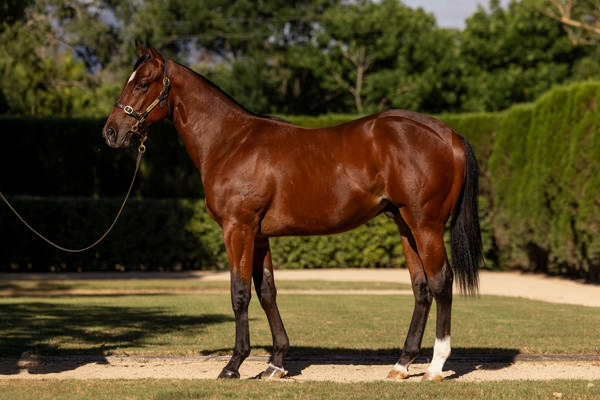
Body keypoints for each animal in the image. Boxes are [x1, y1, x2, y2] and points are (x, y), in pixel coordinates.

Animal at [101, 42, 480, 382]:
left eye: (141, 82)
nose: (111, 132)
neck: (230, 142)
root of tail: (448, 134)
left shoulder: (237, 229)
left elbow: (240, 293)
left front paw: (233, 365)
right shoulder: (259, 235)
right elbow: (267, 291)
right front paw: (276, 363)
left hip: (425, 225)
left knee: (441, 282)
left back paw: (435, 367)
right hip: (405, 225)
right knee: (421, 288)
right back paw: (402, 365)